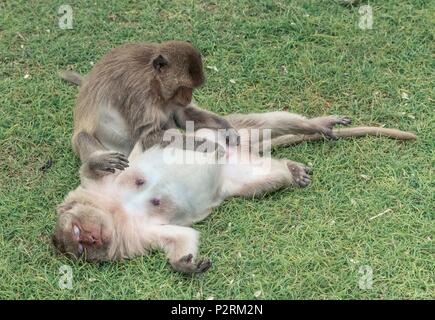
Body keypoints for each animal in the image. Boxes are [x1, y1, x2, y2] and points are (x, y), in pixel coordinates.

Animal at [52, 111, 416, 274]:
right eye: (80, 249)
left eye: (77, 233)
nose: (92, 239)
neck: (117, 211)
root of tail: (242, 149)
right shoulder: (139, 235)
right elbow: (180, 236)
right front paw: (184, 263)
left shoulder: (95, 189)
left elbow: (98, 165)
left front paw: (99, 161)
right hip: (239, 175)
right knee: (263, 181)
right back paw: (288, 169)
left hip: (229, 128)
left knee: (271, 121)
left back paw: (315, 125)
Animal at [59, 40, 240, 176]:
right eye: (184, 88)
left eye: (191, 89)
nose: (188, 97)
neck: (154, 82)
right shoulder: (138, 94)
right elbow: (148, 137)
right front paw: (210, 146)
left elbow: (184, 116)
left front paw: (227, 128)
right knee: (82, 135)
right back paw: (95, 162)